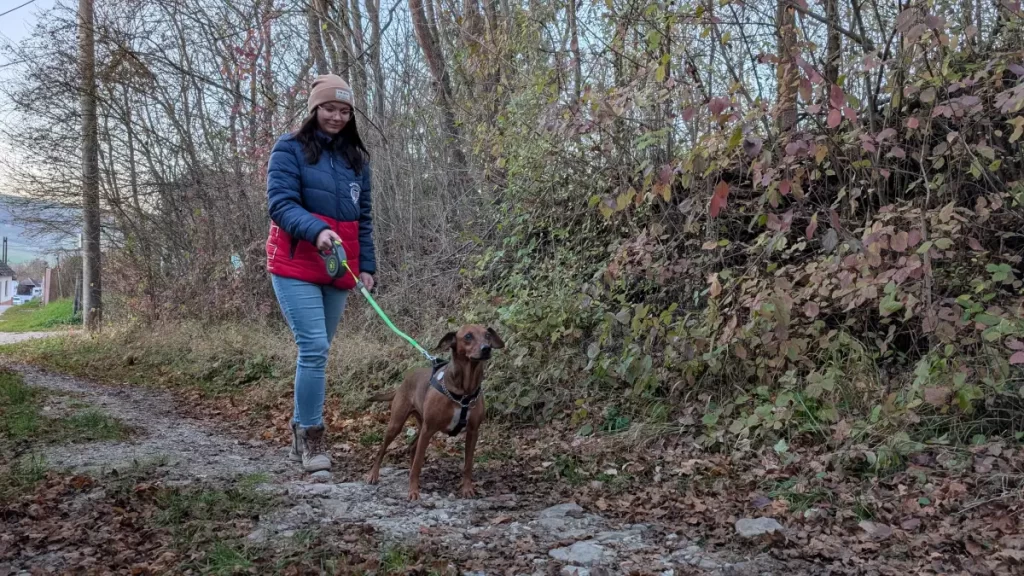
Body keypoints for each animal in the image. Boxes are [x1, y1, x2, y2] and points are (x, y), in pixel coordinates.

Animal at [366, 323, 505, 498]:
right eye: (468, 336)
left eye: (487, 335)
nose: (486, 348)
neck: (463, 392)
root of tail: (404, 380)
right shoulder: (429, 429)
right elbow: (418, 462)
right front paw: (413, 491)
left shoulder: (473, 431)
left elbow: (468, 464)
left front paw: (467, 489)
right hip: (397, 424)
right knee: (383, 450)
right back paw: (373, 474)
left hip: (421, 424)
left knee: (412, 447)